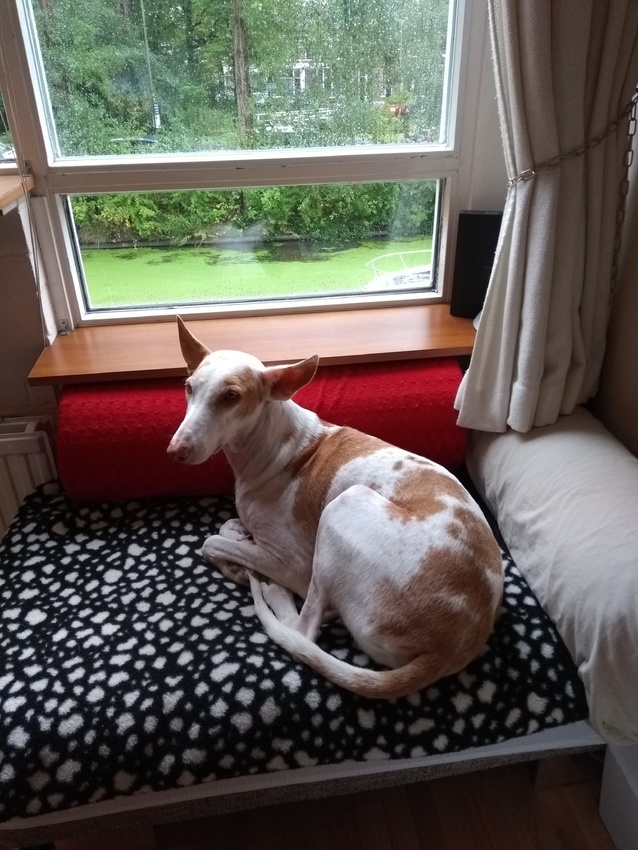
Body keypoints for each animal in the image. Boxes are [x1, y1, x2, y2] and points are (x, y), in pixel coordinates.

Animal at [167, 317, 503, 699]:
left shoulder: (295, 562)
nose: (175, 451)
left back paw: (275, 592)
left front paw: (239, 561)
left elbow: (211, 542)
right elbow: (227, 529)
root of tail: (451, 649)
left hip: (344, 506)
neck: (270, 445)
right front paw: (239, 537)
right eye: (189, 388)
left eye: (231, 397)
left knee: (303, 629)